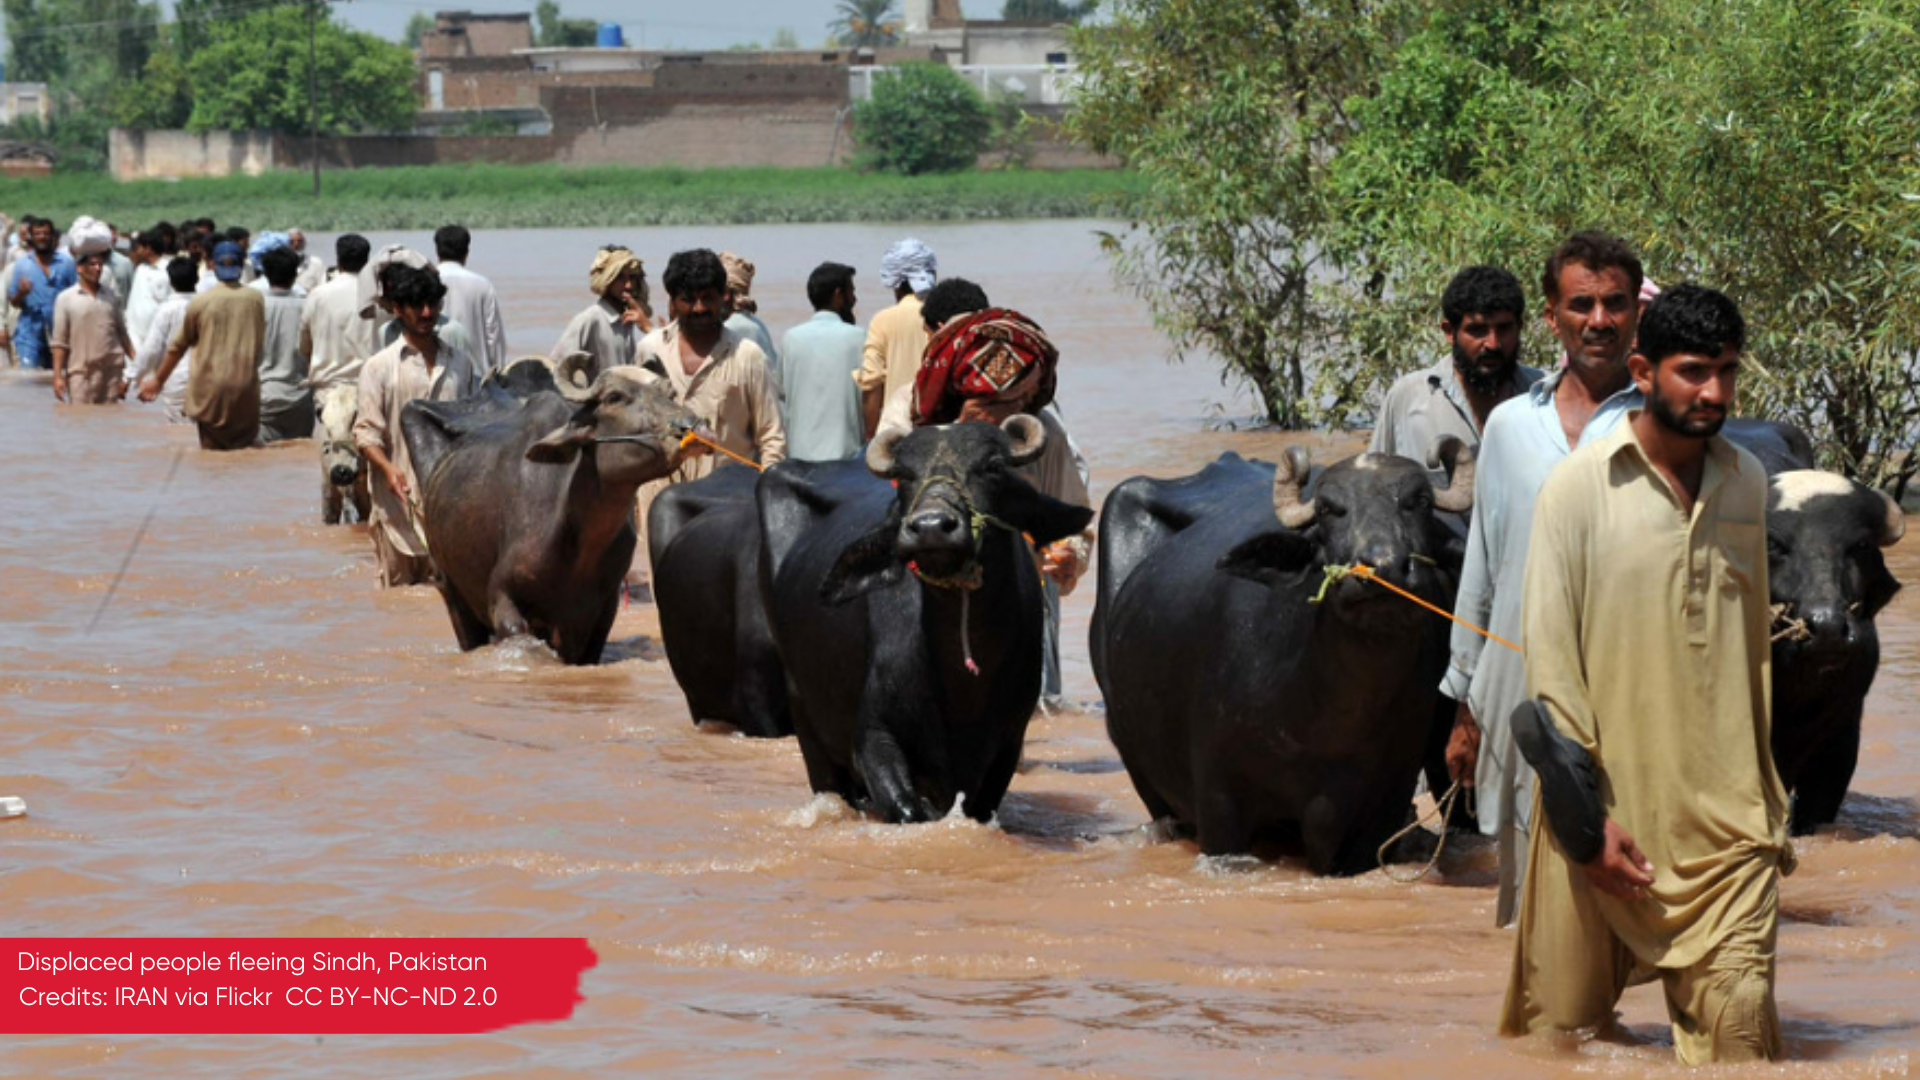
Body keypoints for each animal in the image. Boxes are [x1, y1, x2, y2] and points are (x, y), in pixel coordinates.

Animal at [403, 361, 698, 661]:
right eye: (614, 397)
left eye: (669, 394)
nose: (689, 425)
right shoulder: (503, 599)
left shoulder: (602, 612)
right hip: (451, 592)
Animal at [760, 417, 1098, 818]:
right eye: (905, 474)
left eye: (993, 467)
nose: (932, 526)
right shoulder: (875, 738)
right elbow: (907, 810)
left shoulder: (1007, 746)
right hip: (807, 720)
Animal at [1098, 441, 1466, 868]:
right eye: (1327, 509)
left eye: (1419, 501)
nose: (1382, 568)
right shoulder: (1219, 800)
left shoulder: (1382, 809)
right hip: (1139, 768)